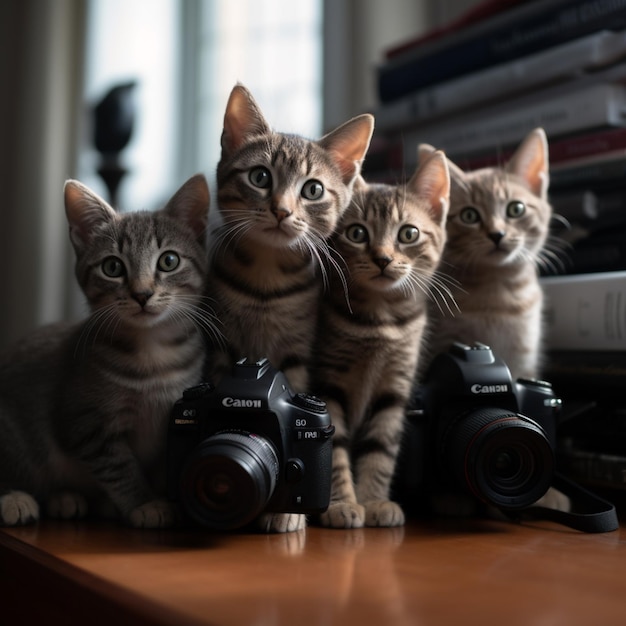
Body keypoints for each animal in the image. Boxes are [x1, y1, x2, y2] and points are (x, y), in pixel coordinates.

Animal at [0, 174, 212, 528]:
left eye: (169, 261)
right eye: (113, 267)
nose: (142, 294)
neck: (152, 355)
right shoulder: (86, 425)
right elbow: (119, 467)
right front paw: (145, 502)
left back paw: (67, 499)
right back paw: (15, 499)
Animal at [207, 84, 372, 532]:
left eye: (312, 189)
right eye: (260, 177)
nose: (281, 210)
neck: (267, 277)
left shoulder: (298, 353)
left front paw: (287, 511)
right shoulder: (221, 345)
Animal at [310, 151, 448, 528]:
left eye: (409, 233)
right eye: (357, 233)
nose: (383, 258)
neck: (382, 320)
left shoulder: (393, 388)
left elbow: (381, 448)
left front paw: (374, 501)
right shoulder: (329, 384)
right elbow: (335, 446)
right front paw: (342, 504)